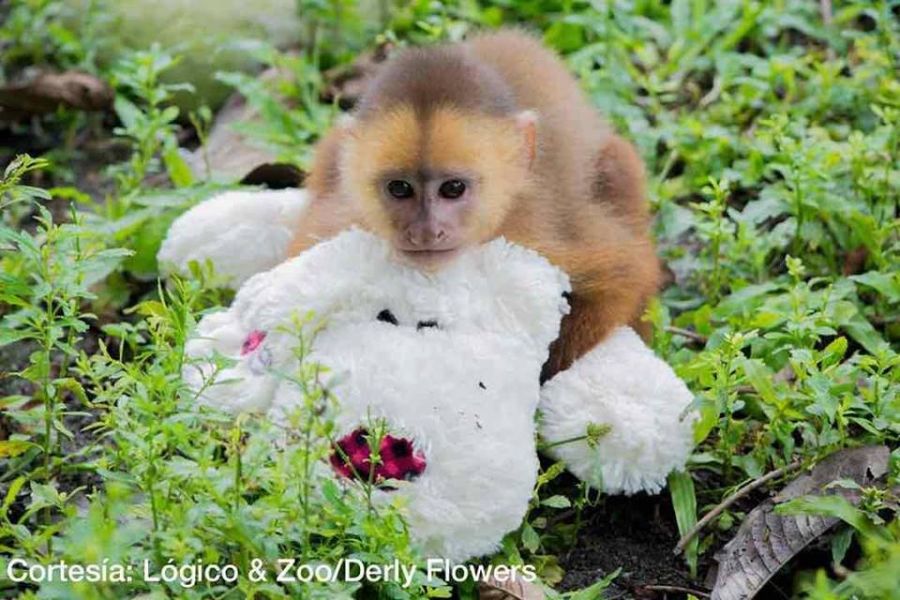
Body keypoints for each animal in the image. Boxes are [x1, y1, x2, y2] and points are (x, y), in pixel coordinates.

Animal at [289, 29, 661, 379]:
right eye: (400, 188)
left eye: (453, 188)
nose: (426, 233)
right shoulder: (344, 221)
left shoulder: (533, 231)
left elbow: (623, 276)